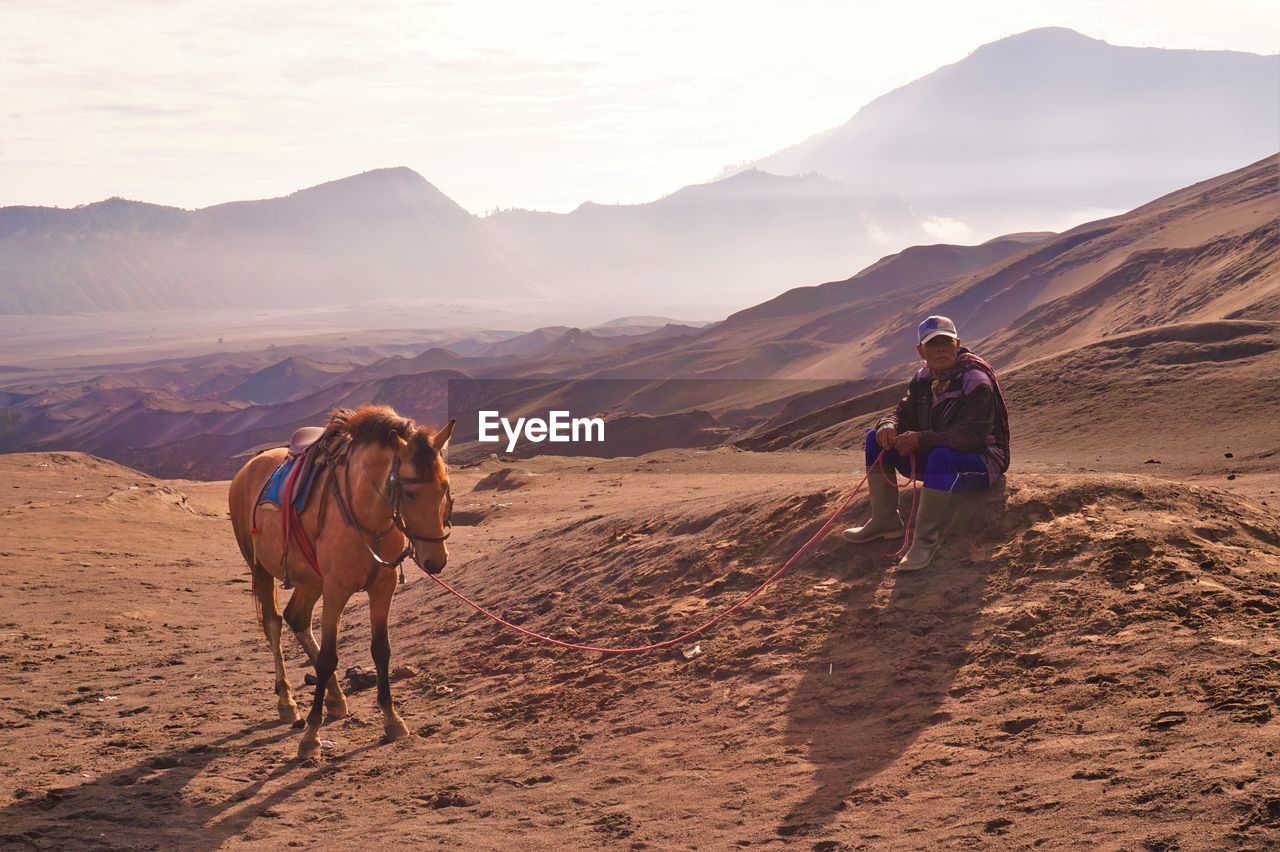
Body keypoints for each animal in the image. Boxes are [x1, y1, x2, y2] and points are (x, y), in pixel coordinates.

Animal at [229, 404, 455, 757]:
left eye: (444, 487)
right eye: (408, 491)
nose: (436, 559)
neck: (367, 516)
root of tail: (246, 470)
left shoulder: (383, 587)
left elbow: (381, 650)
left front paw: (392, 720)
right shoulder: (336, 589)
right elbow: (327, 658)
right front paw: (311, 736)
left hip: (310, 579)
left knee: (297, 618)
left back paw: (335, 698)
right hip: (262, 569)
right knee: (273, 624)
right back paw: (287, 703)